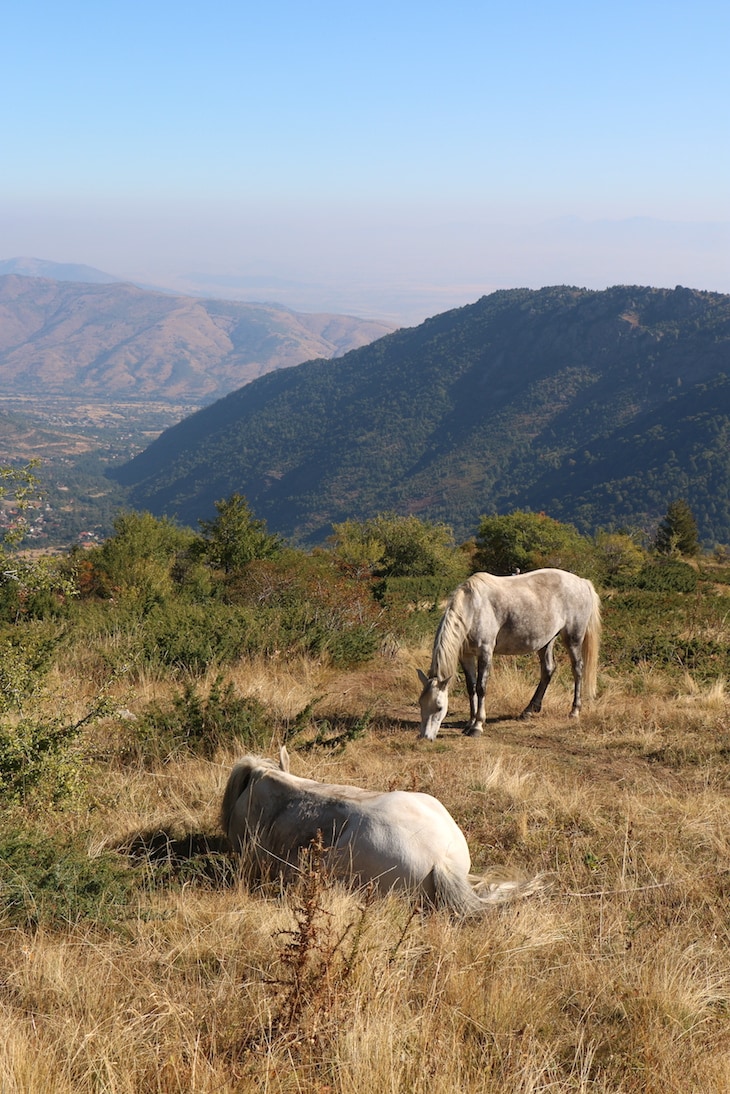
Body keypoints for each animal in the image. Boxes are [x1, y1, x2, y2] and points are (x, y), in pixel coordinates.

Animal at [418, 568, 601, 740]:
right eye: (420, 703)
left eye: (440, 707)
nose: (425, 736)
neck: (474, 607)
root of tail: (582, 582)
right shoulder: (466, 655)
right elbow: (471, 688)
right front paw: (469, 723)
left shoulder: (485, 652)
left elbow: (481, 687)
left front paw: (477, 726)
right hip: (546, 641)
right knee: (548, 669)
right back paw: (528, 711)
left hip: (573, 638)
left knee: (577, 669)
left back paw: (574, 711)